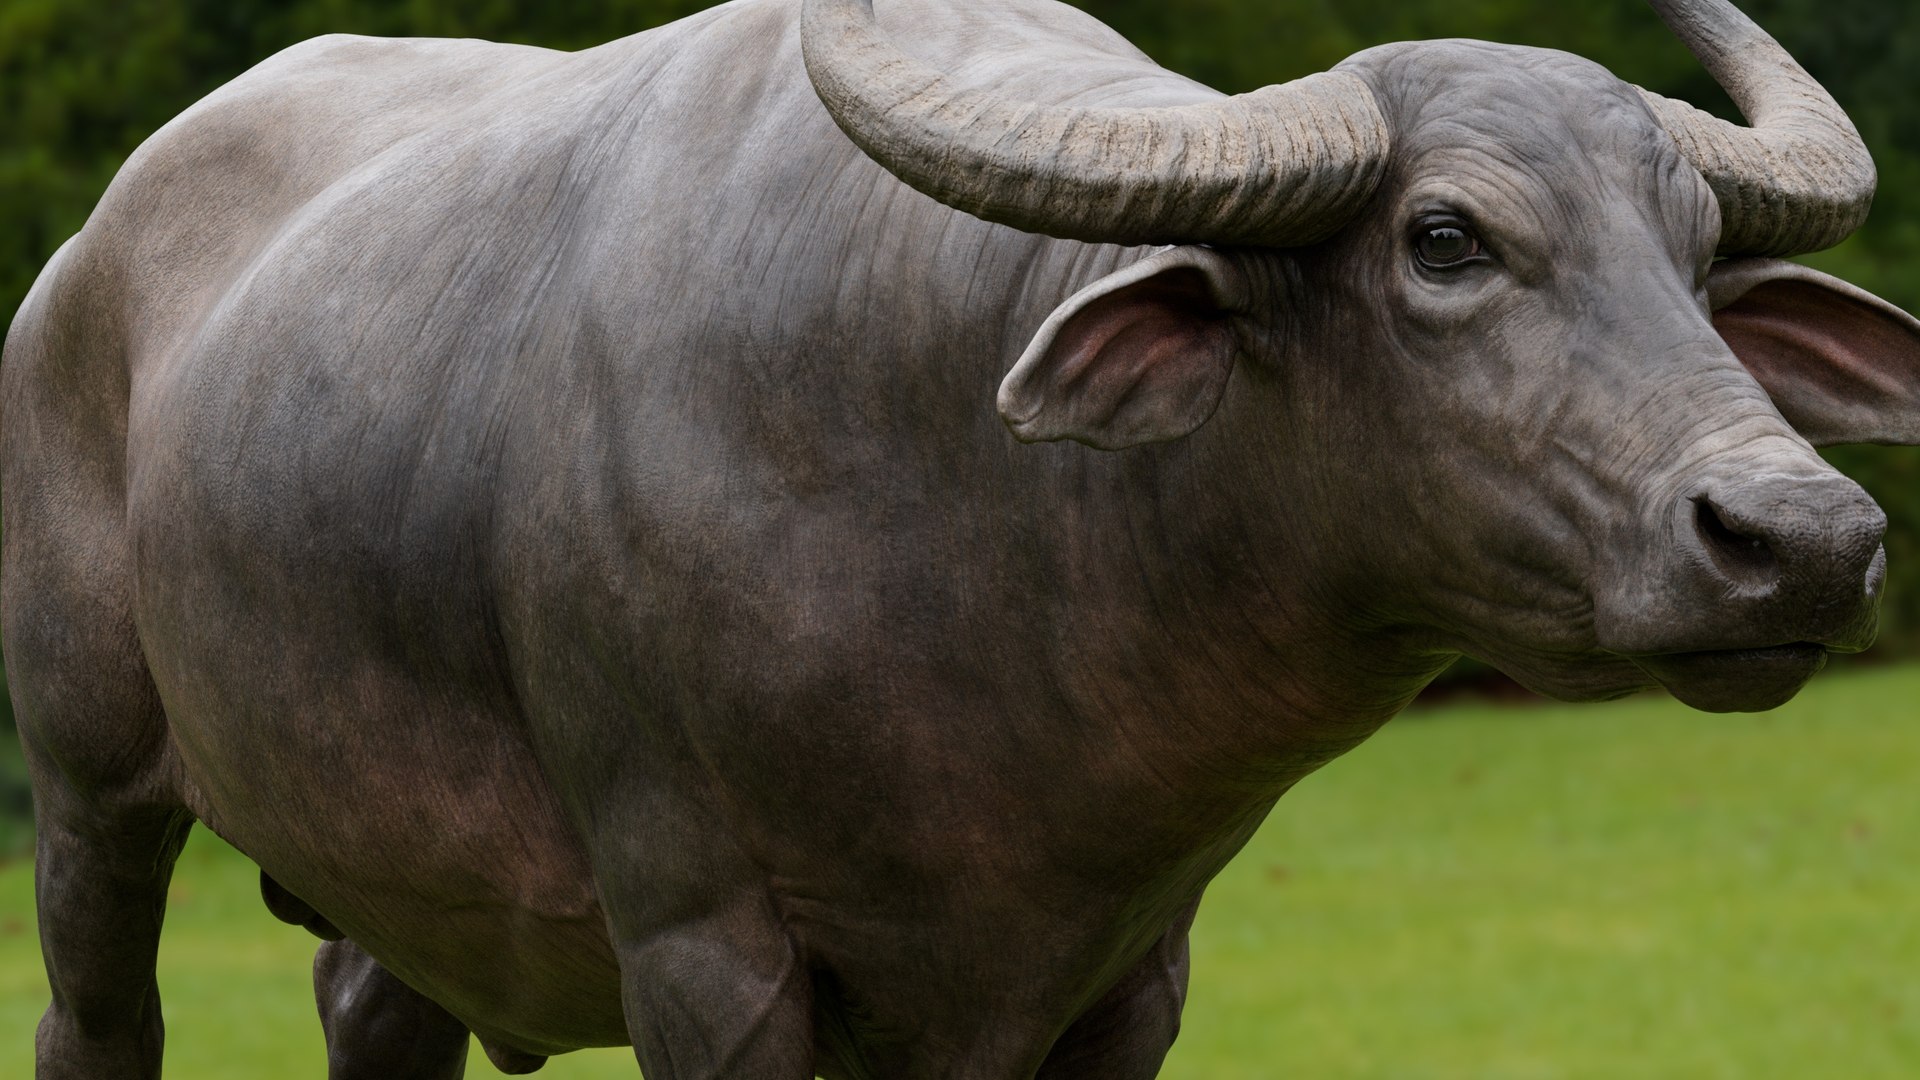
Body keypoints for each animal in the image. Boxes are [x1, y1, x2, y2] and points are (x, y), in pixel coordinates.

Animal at [7, 0, 1920, 1076]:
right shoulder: (705, 950)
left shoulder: (1120, 978)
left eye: (1697, 253)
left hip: (394, 882)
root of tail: (81, 268)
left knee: (371, 1014)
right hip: (91, 797)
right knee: (97, 1020)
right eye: (1446, 238)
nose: (1807, 536)